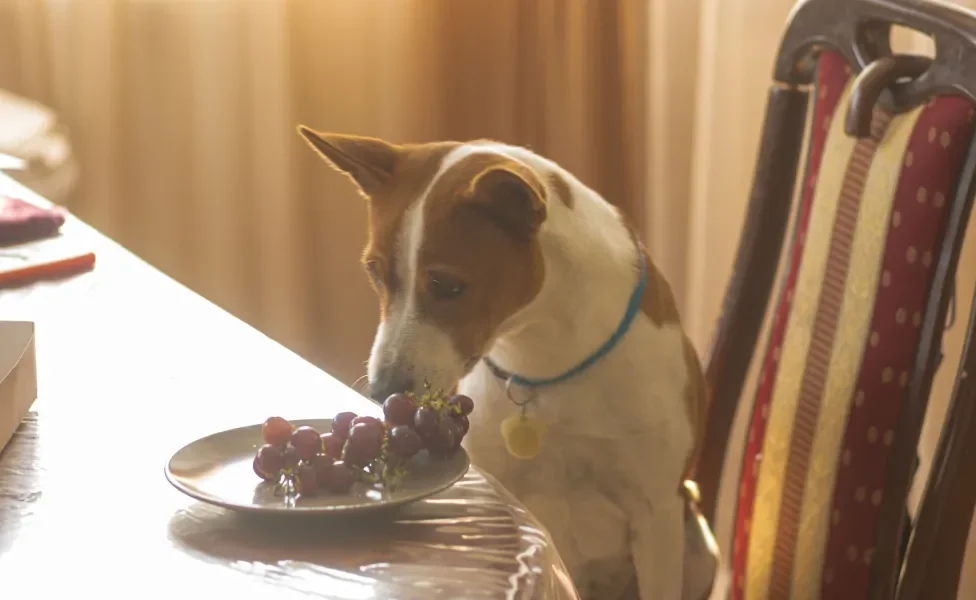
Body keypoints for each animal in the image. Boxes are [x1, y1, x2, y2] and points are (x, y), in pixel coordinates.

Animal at [298, 130, 708, 600]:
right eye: (375, 274)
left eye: (447, 285)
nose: (383, 391)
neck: (546, 359)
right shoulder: (503, 490)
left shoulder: (656, 514)